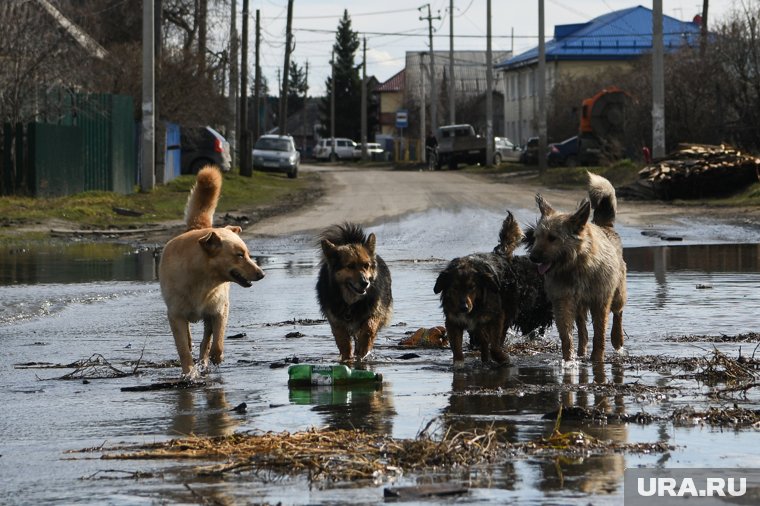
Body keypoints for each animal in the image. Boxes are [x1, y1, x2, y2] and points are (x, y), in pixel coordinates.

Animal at [159, 167, 266, 376]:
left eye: (248, 254)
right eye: (239, 255)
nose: (261, 274)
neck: (202, 279)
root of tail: (198, 228)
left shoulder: (219, 310)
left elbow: (217, 341)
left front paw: (216, 357)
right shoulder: (175, 315)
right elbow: (183, 348)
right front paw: (189, 373)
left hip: (210, 315)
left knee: (206, 341)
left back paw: (206, 360)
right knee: (190, 339)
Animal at [318, 223, 394, 362]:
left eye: (366, 265)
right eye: (350, 266)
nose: (365, 283)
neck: (351, 302)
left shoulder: (376, 311)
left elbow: (369, 328)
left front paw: (363, 350)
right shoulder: (336, 321)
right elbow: (343, 341)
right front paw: (348, 358)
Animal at [524, 172, 628, 362]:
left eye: (552, 238)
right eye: (536, 237)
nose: (533, 258)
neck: (577, 266)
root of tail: (604, 226)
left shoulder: (600, 301)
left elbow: (599, 335)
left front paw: (597, 359)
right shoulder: (563, 302)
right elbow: (566, 336)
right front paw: (568, 360)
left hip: (617, 294)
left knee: (618, 313)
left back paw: (617, 339)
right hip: (579, 306)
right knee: (582, 330)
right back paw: (581, 351)